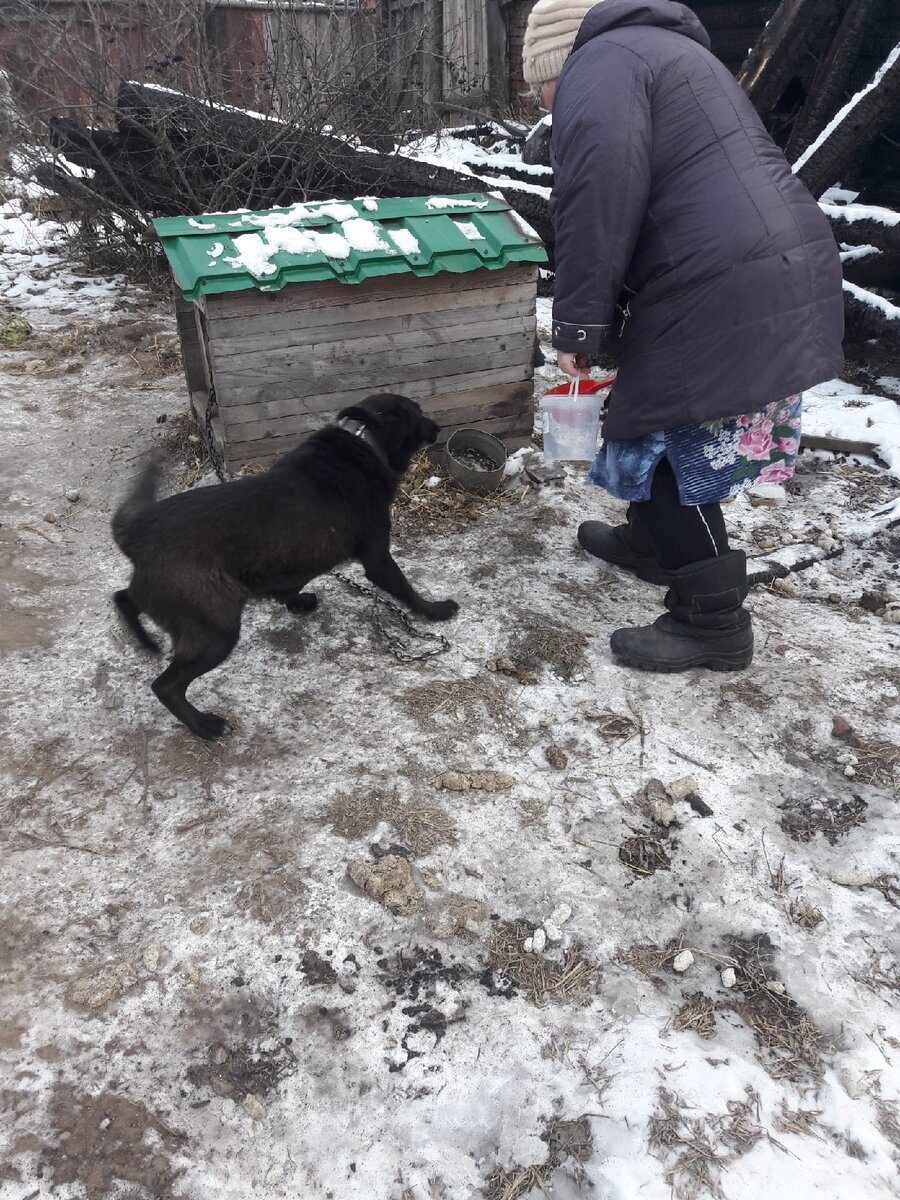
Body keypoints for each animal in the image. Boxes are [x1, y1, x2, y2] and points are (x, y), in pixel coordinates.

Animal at [112, 391, 458, 739]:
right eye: (418, 412)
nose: (438, 427)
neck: (365, 440)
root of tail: (138, 531)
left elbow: (291, 583)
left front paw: (297, 602)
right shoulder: (378, 559)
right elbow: (406, 590)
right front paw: (436, 610)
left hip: (168, 600)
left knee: (124, 598)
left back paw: (145, 641)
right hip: (215, 627)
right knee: (166, 686)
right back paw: (204, 725)